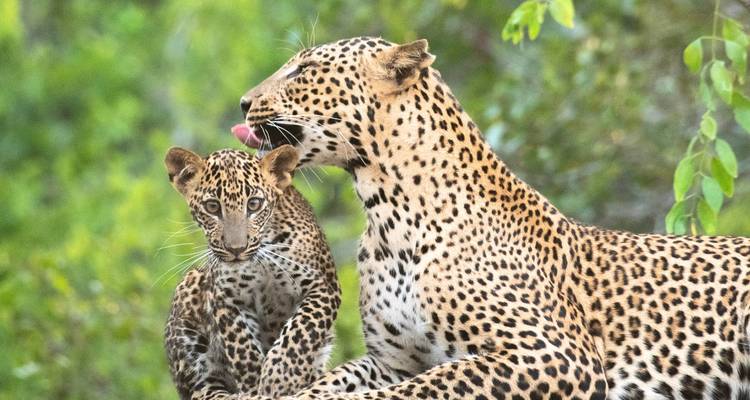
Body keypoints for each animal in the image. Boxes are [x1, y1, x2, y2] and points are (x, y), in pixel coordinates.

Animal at [163, 145, 341, 400]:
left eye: (254, 204)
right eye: (212, 207)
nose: (236, 249)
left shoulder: (323, 286)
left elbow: (302, 329)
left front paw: (280, 375)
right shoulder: (225, 298)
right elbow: (242, 347)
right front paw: (256, 387)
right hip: (189, 294)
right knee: (203, 388)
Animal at [231, 36, 750, 400]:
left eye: (304, 69)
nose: (243, 102)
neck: (387, 216)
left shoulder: (557, 354)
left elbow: (424, 387)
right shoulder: (393, 361)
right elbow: (330, 383)